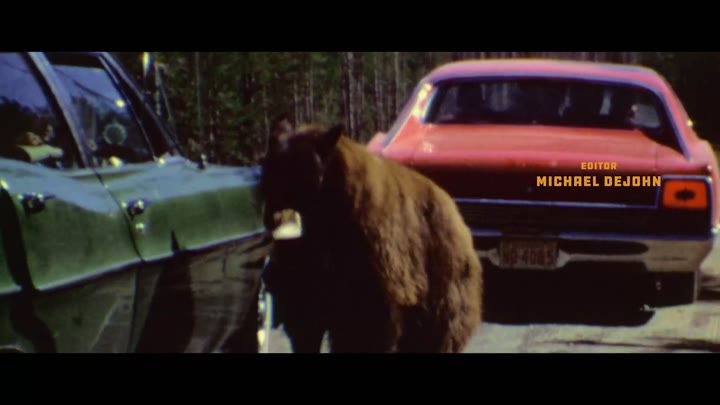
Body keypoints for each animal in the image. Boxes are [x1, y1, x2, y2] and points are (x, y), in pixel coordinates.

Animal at [259, 117, 483, 353]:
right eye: (268, 176)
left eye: (303, 175)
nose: (278, 218)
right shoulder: (304, 276)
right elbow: (305, 323)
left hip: (444, 286)